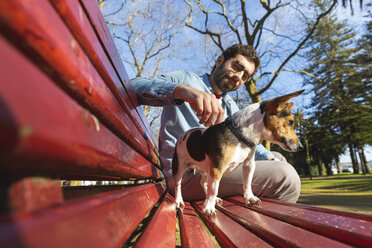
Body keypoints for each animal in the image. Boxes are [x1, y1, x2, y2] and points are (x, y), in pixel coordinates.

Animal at [171, 89, 306, 215]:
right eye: (290, 122)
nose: (301, 147)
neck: (239, 133)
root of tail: (184, 135)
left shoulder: (248, 165)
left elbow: (247, 183)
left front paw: (250, 198)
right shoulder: (217, 168)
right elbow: (214, 189)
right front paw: (209, 207)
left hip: (205, 169)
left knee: (204, 183)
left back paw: (214, 199)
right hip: (179, 168)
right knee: (178, 185)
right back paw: (179, 201)